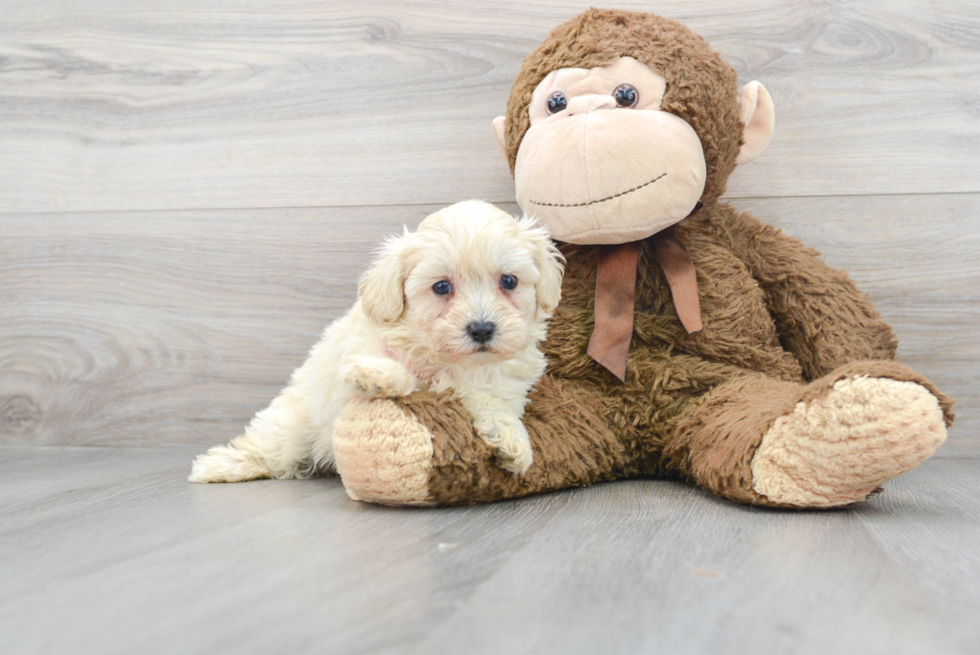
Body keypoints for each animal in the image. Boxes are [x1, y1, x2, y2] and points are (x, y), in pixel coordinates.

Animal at [189, 199, 564, 482]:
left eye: (509, 281)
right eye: (441, 287)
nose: (482, 328)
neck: (446, 359)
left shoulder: (498, 384)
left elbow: (492, 403)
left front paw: (512, 441)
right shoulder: (348, 370)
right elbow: (386, 370)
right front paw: (378, 375)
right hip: (292, 425)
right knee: (269, 447)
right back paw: (218, 466)